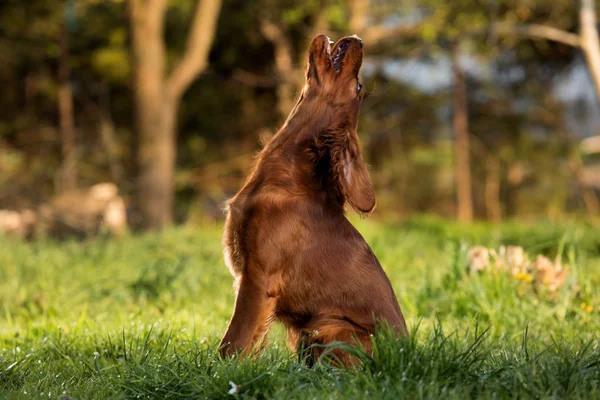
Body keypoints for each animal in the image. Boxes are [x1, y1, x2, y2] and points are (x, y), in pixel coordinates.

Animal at [218, 34, 406, 366]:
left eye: (358, 86)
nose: (358, 39)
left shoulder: (259, 277)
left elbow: (234, 340)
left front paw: (219, 371)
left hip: (327, 324)